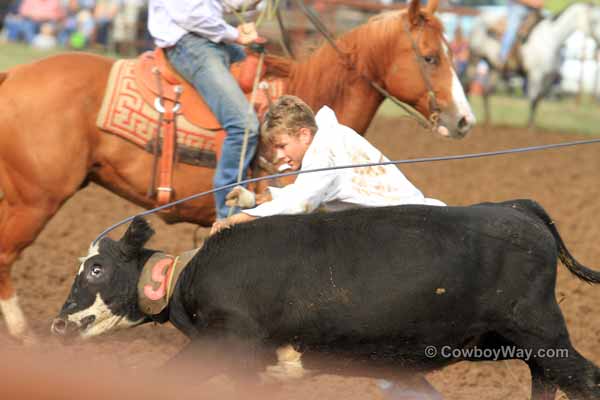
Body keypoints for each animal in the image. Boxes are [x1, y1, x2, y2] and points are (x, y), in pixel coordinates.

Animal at [0, 0, 474, 340]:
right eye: (430, 58)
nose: (464, 120)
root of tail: (15, 74)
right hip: (35, 199)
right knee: (6, 255)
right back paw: (24, 336)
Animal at [468, 1, 600, 126]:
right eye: (594, 21)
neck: (552, 39)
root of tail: (480, 18)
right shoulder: (536, 74)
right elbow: (533, 99)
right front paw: (529, 127)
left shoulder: (550, 77)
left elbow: (539, 99)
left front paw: (532, 125)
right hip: (475, 59)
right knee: (469, 86)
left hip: (494, 68)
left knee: (486, 92)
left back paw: (488, 121)